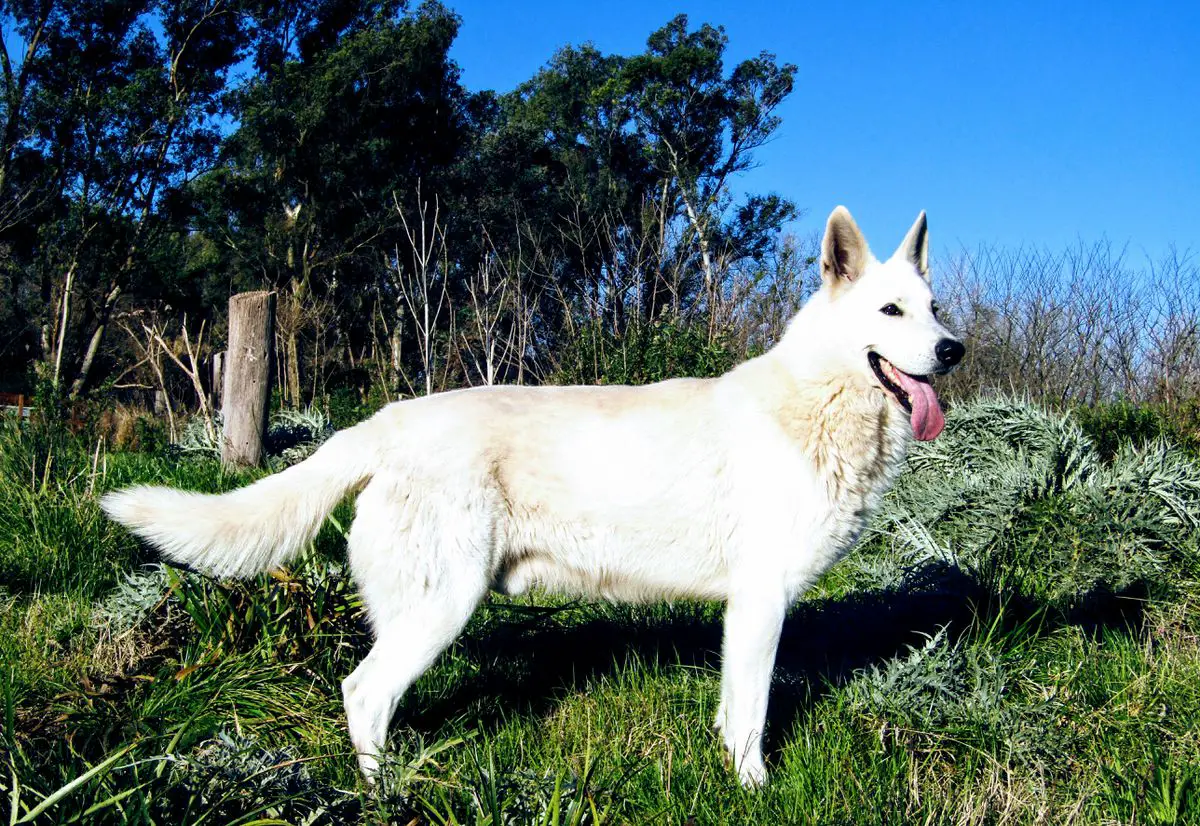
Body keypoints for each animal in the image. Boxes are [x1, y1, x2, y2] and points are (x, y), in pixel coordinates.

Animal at [105, 206, 964, 787]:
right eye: (889, 312)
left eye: (932, 310)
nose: (954, 349)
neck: (818, 402)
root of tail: (382, 423)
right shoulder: (760, 604)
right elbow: (751, 721)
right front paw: (753, 792)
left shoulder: (745, 616)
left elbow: (731, 714)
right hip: (442, 607)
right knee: (363, 692)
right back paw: (386, 794)